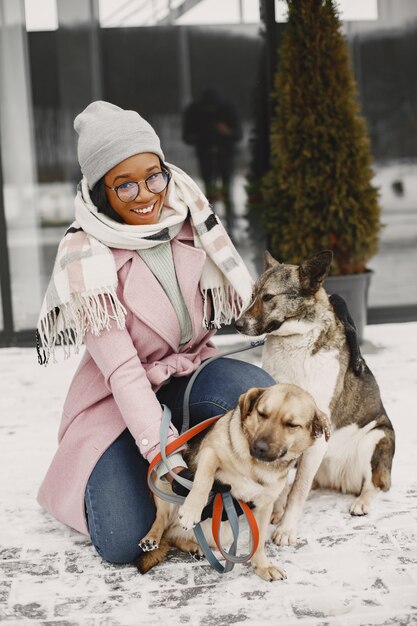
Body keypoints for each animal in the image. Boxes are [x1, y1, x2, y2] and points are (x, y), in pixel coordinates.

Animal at [136, 380, 328, 580]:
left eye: (291, 425)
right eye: (262, 414)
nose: (259, 447)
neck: (256, 466)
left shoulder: (264, 506)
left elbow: (258, 542)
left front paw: (262, 566)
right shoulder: (210, 452)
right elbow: (203, 481)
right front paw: (191, 510)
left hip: (222, 533)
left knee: (173, 536)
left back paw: (194, 547)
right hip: (163, 489)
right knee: (161, 520)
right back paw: (152, 538)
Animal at [236, 251, 394, 544]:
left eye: (268, 297)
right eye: (252, 294)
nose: (236, 325)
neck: (295, 340)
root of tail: (337, 477)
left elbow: (298, 490)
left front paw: (286, 529)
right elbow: (285, 482)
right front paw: (276, 510)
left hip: (376, 437)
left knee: (376, 483)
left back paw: (362, 502)